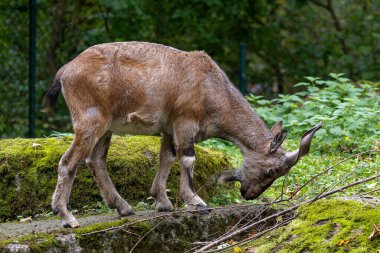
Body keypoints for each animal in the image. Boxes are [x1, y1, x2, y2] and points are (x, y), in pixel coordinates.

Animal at [46, 42, 322, 227]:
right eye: (271, 170)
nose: (249, 194)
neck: (213, 90)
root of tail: (65, 71)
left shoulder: (169, 129)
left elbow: (166, 158)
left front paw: (163, 202)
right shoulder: (185, 122)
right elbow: (187, 158)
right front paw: (197, 203)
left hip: (106, 127)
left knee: (95, 160)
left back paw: (123, 208)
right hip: (90, 120)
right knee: (68, 162)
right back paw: (67, 217)